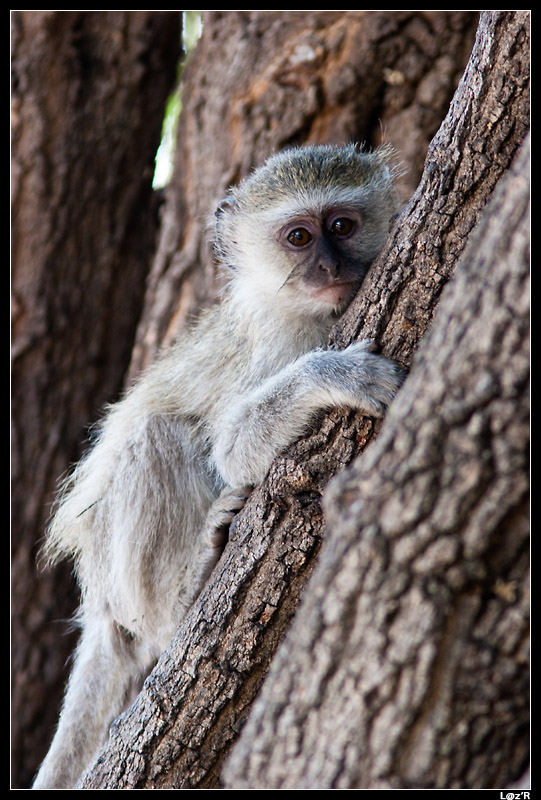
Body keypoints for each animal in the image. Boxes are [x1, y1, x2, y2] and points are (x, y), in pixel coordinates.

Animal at [32, 143, 403, 789]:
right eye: (299, 237)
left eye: (341, 226)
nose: (329, 266)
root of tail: (99, 599)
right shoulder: (277, 344)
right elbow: (230, 450)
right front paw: (336, 375)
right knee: (156, 436)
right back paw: (183, 599)